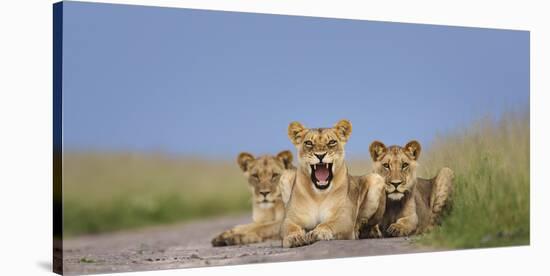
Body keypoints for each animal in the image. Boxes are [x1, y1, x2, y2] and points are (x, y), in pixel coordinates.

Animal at [282, 119, 386, 248]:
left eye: (332, 142)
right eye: (309, 143)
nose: (320, 155)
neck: (318, 195)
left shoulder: (344, 217)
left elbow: (328, 224)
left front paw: (318, 232)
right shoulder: (290, 218)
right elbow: (289, 228)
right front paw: (294, 237)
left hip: (376, 178)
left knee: (369, 223)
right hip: (286, 174)